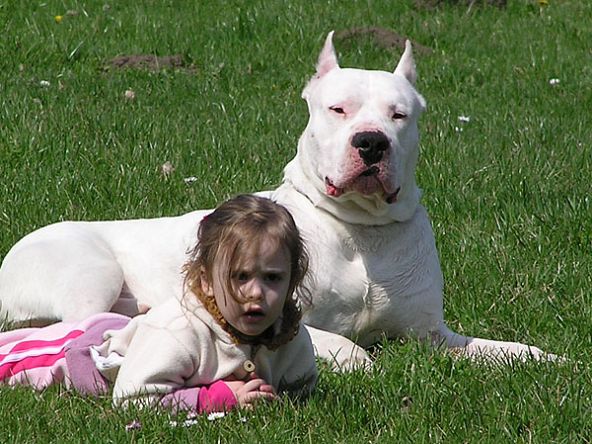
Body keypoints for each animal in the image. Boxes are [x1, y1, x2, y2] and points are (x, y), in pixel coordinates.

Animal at [0, 32, 552, 368]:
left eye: (399, 115)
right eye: (338, 109)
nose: (371, 142)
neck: (361, 231)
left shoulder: (434, 335)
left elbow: (499, 349)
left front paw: (544, 358)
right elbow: (350, 349)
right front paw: (360, 364)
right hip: (89, 270)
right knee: (72, 326)